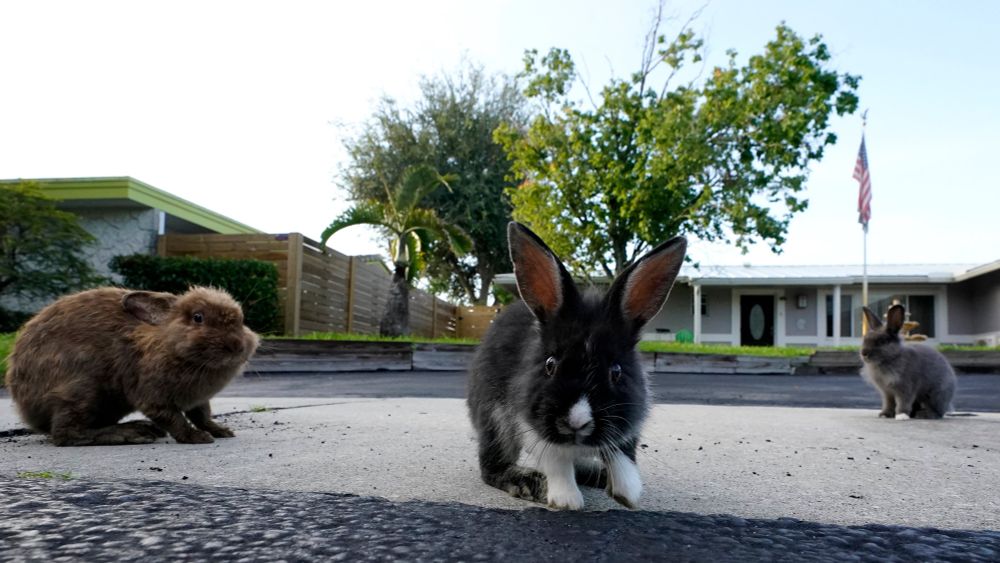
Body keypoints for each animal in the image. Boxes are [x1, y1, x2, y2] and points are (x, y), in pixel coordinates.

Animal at [5, 288, 260, 448]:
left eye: (241, 320)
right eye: (198, 317)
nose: (236, 346)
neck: (167, 345)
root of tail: (26, 408)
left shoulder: (198, 399)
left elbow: (202, 415)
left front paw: (222, 431)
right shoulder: (151, 396)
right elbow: (174, 418)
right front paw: (197, 437)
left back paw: (143, 428)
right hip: (81, 391)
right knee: (65, 433)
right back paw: (133, 434)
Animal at [468, 221, 688, 512]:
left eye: (616, 372)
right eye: (550, 365)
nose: (576, 422)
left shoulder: (628, 423)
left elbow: (622, 455)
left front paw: (627, 493)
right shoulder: (529, 423)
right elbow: (556, 460)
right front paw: (566, 500)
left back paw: (598, 475)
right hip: (495, 422)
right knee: (492, 468)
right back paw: (530, 482)